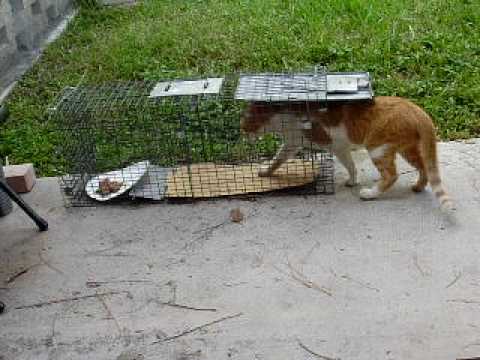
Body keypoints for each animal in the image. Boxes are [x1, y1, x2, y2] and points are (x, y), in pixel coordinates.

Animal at [242, 96, 452, 208]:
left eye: (247, 120)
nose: (241, 129)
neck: (285, 118)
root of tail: (416, 110)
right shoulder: (294, 145)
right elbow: (277, 160)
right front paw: (266, 172)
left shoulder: (335, 146)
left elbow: (350, 165)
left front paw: (353, 181)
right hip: (406, 149)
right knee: (424, 166)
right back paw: (418, 187)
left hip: (377, 149)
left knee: (391, 175)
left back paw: (370, 194)